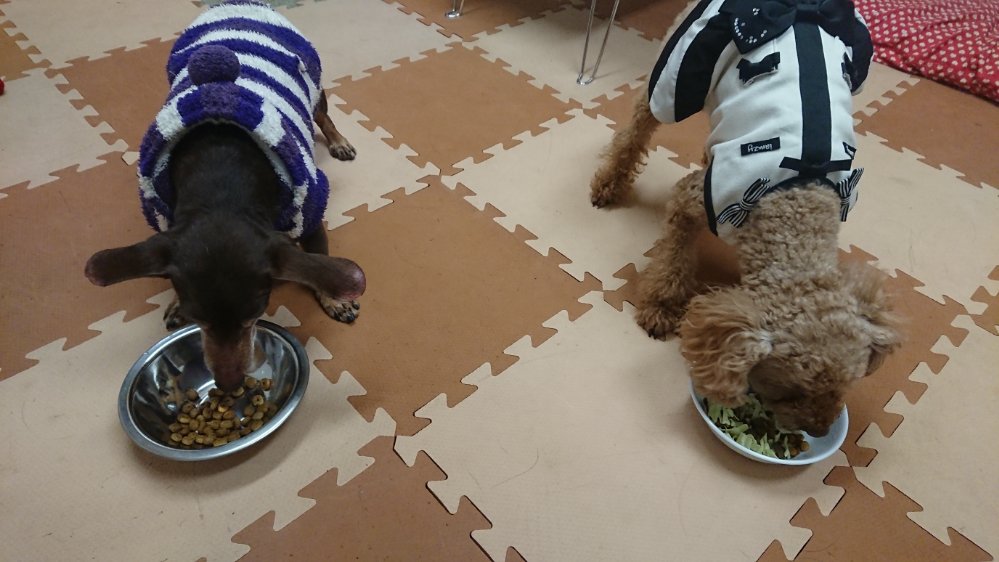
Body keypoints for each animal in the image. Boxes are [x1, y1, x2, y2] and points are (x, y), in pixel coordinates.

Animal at [85, 1, 365, 392]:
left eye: (254, 318)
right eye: (197, 320)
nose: (229, 384)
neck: (222, 188)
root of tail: (240, 4)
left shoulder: (309, 212)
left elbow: (320, 261)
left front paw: (335, 300)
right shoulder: (164, 216)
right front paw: (174, 303)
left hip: (315, 86)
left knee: (324, 117)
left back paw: (339, 142)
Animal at [589, 0, 901, 436]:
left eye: (843, 387)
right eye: (792, 392)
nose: (820, 430)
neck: (797, 196)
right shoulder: (694, 200)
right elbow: (672, 263)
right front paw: (660, 310)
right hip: (678, 73)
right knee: (639, 123)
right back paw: (608, 183)